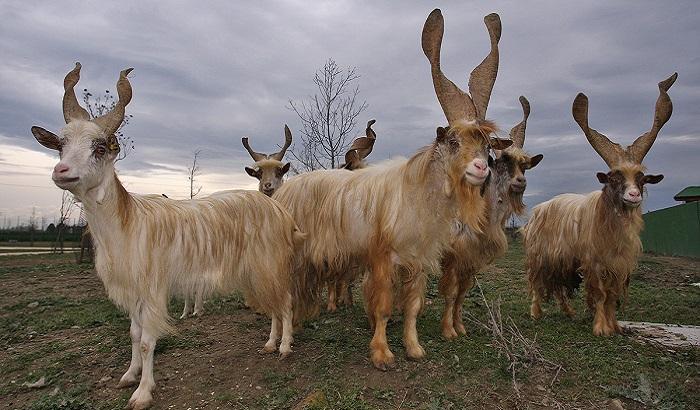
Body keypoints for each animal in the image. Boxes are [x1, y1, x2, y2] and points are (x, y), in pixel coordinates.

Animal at [32, 62, 306, 408]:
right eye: (60, 145)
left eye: (99, 147)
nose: (62, 172)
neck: (128, 224)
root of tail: (281, 211)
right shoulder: (134, 289)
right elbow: (134, 334)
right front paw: (129, 375)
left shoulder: (153, 288)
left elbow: (147, 341)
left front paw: (142, 392)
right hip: (258, 269)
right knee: (273, 303)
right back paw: (270, 344)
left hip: (271, 262)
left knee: (284, 301)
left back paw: (284, 348)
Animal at [272, 9, 508, 370]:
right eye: (453, 141)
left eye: (487, 146)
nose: (481, 168)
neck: (416, 196)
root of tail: (283, 191)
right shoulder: (383, 257)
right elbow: (383, 307)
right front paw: (382, 354)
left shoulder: (418, 260)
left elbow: (412, 307)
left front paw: (414, 348)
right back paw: (276, 344)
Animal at [440, 97, 544, 340]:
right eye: (503, 160)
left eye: (525, 165)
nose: (520, 182)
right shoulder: (453, 257)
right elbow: (451, 292)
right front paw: (448, 330)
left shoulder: (470, 260)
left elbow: (462, 293)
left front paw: (460, 327)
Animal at [524, 73, 680, 336]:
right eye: (614, 178)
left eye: (641, 179)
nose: (633, 196)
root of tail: (539, 209)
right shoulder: (593, 263)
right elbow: (600, 295)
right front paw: (600, 327)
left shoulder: (620, 265)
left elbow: (611, 297)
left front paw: (614, 326)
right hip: (540, 256)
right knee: (537, 283)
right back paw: (536, 313)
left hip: (562, 262)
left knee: (558, 289)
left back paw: (570, 313)